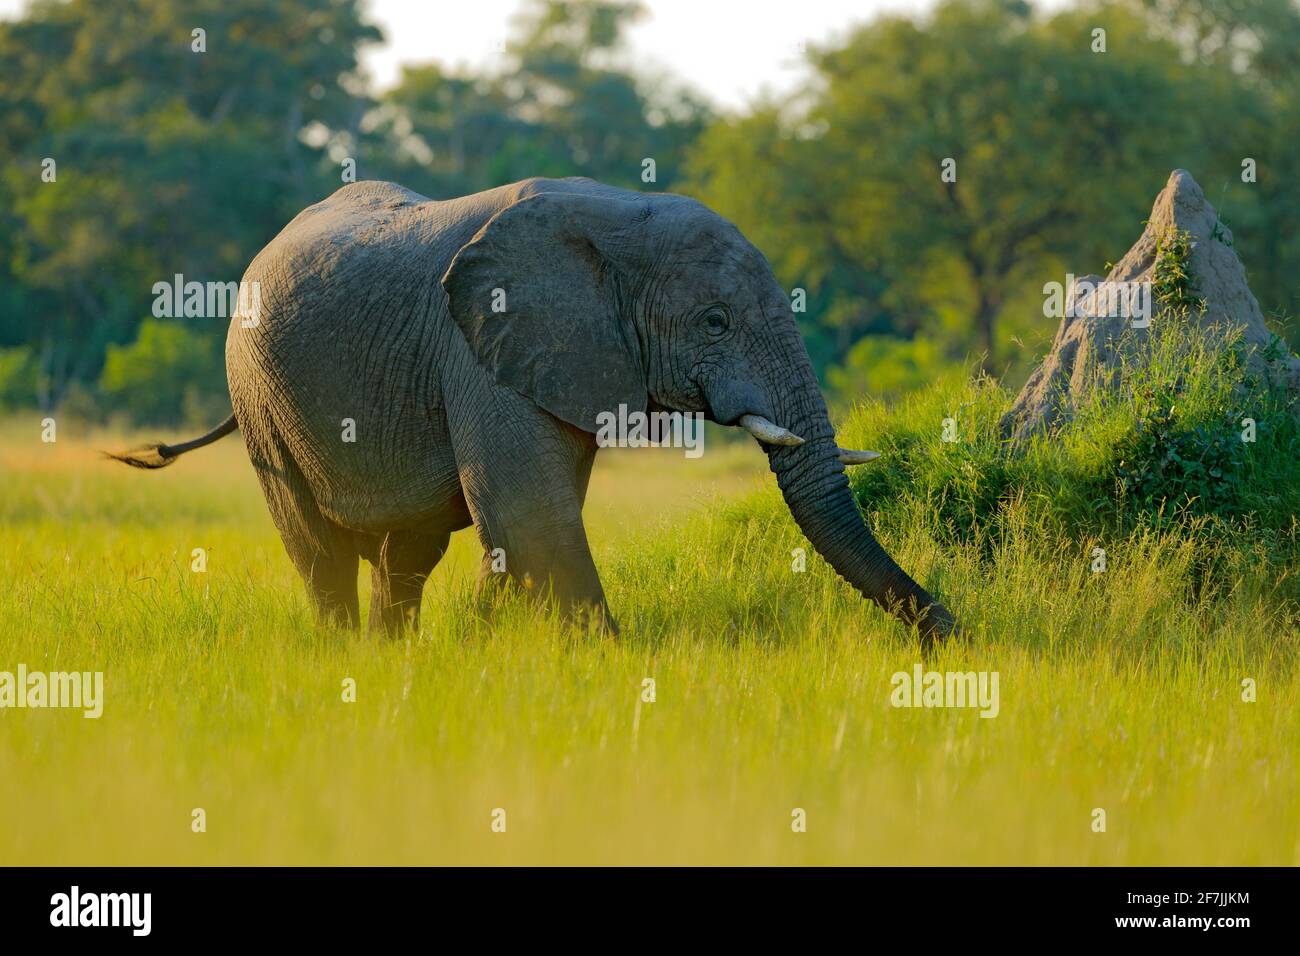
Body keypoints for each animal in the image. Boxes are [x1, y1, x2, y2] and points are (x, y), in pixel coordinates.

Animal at [111, 179, 956, 642]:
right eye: (715, 322)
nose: (952, 637)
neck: (619, 216)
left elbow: (519, 525)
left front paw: (480, 649)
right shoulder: (481, 339)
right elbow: (529, 515)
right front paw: (615, 666)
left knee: (406, 552)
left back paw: (390, 662)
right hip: (256, 390)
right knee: (319, 552)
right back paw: (347, 660)